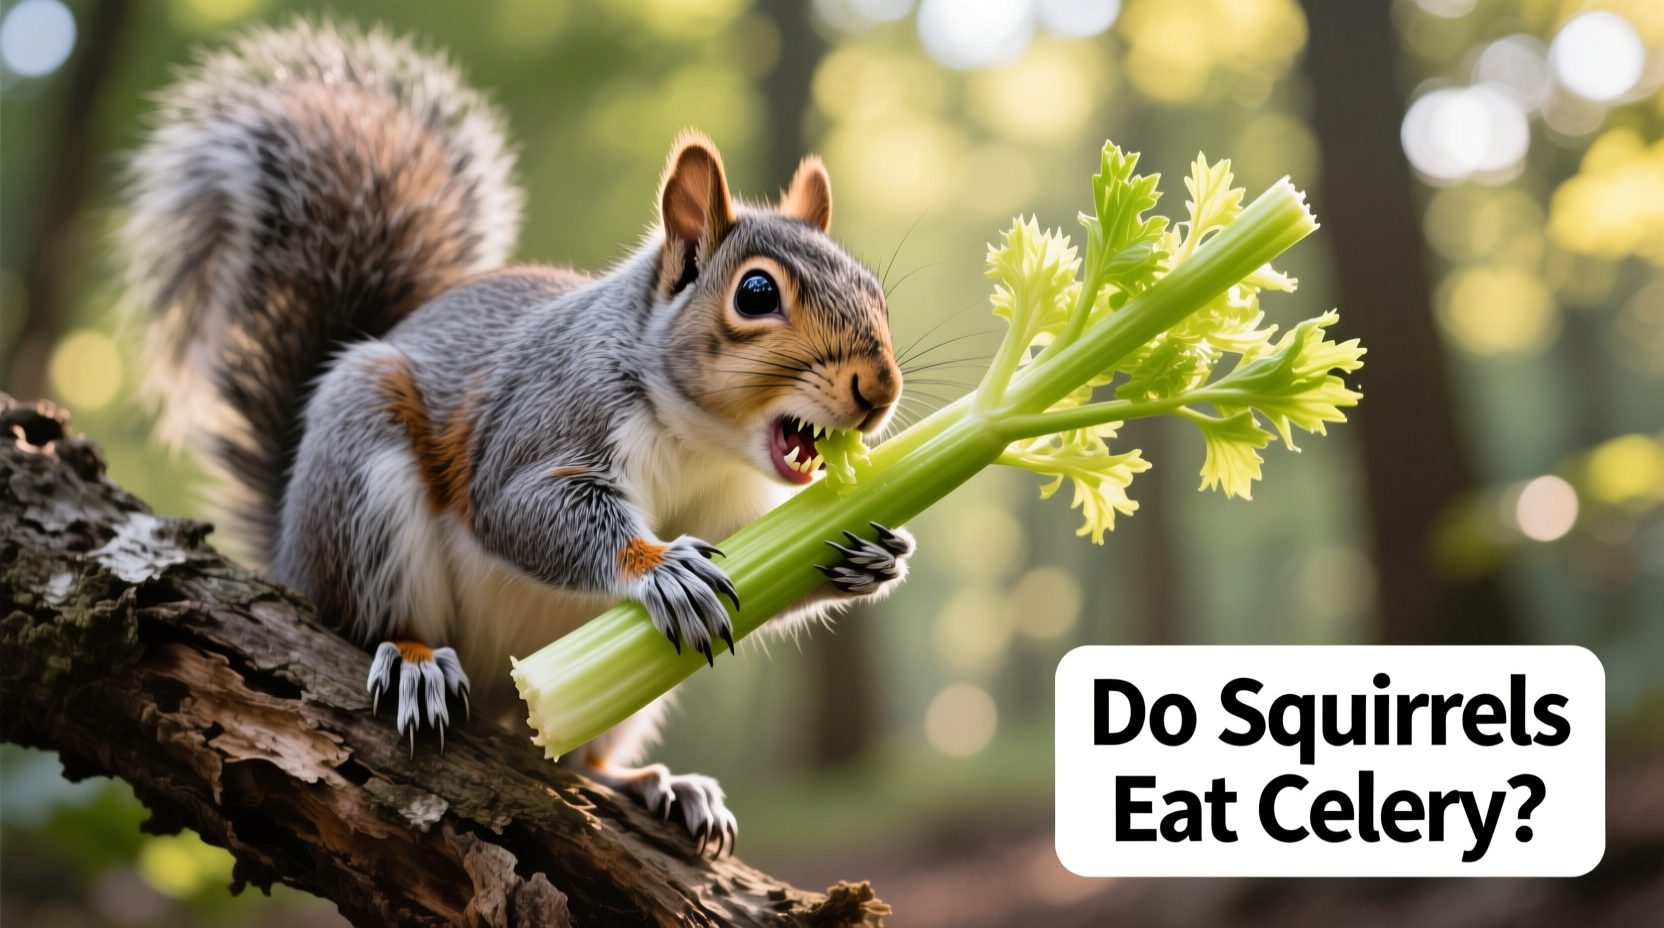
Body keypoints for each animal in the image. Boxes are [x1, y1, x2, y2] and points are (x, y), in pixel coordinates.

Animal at [120, 20, 914, 858]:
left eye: (875, 289)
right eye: (756, 293)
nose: (880, 389)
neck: (701, 443)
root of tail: (290, 555)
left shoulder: (740, 516)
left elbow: (773, 573)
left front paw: (870, 557)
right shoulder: (548, 416)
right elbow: (519, 509)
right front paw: (660, 566)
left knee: (590, 757)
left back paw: (657, 786)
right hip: (362, 479)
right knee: (371, 620)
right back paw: (414, 664)